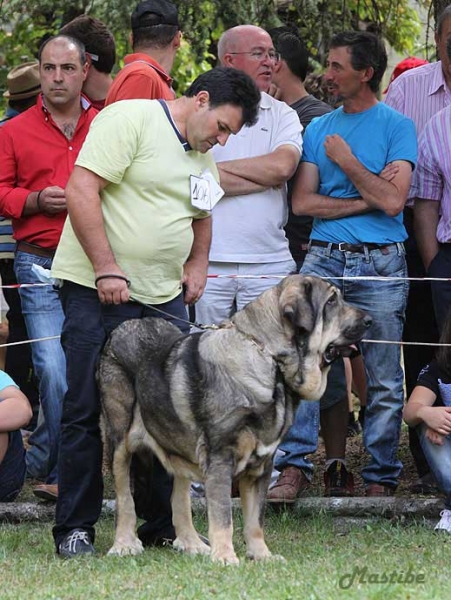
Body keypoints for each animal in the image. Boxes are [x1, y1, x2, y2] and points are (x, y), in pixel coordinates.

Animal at [98, 274, 370, 564]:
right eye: (331, 301)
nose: (369, 320)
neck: (269, 358)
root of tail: (121, 329)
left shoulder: (261, 466)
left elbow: (255, 521)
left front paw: (261, 555)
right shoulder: (220, 459)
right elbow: (223, 516)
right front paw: (225, 557)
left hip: (179, 444)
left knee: (179, 498)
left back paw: (193, 544)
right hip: (119, 441)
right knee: (125, 499)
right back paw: (124, 544)